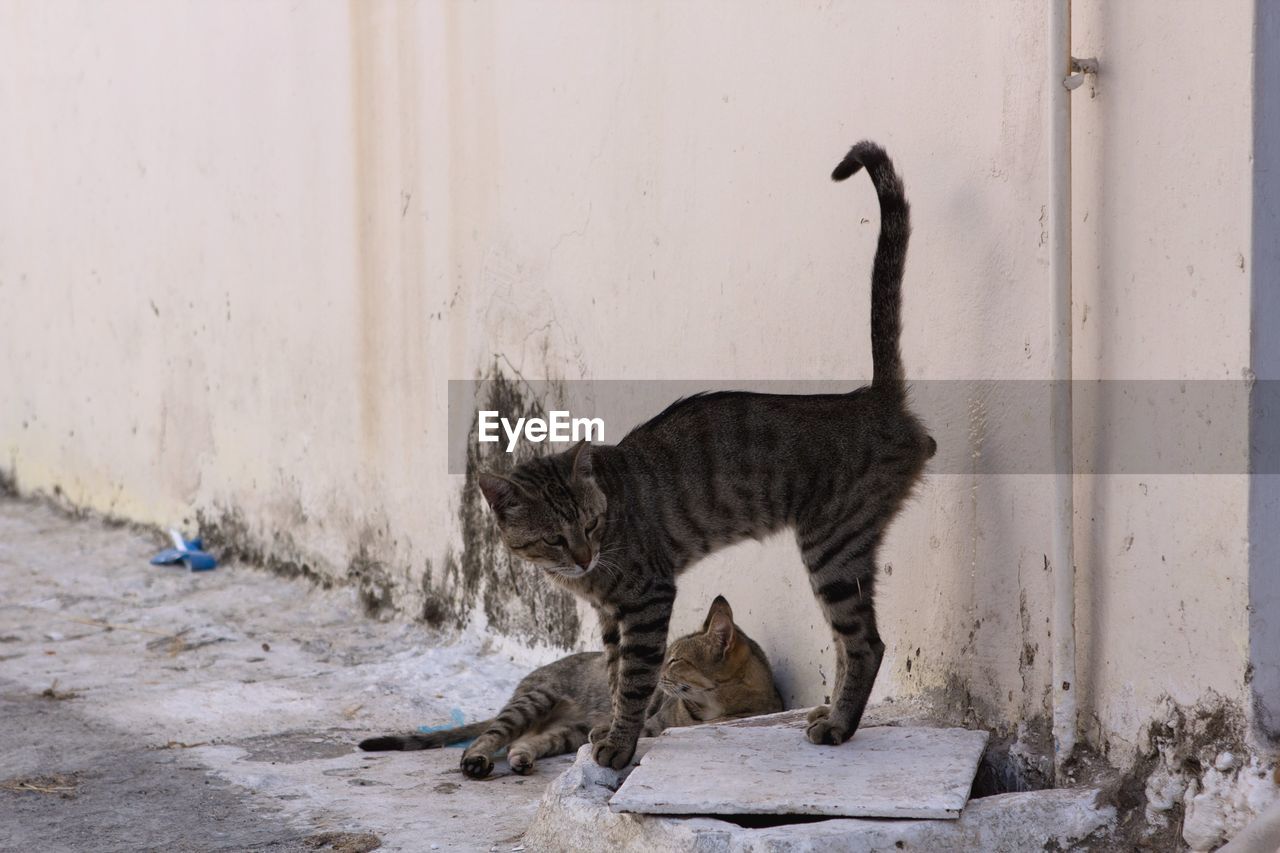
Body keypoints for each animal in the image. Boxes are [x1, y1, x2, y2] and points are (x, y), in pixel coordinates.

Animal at [355, 594, 783, 773]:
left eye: (675, 659)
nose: (658, 671)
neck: (716, 708)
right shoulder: (651, 722)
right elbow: (638, 728)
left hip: (564, 730)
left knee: (529, 742)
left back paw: (521, 760)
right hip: (534, 700)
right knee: (490, 735)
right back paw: (475, 761)